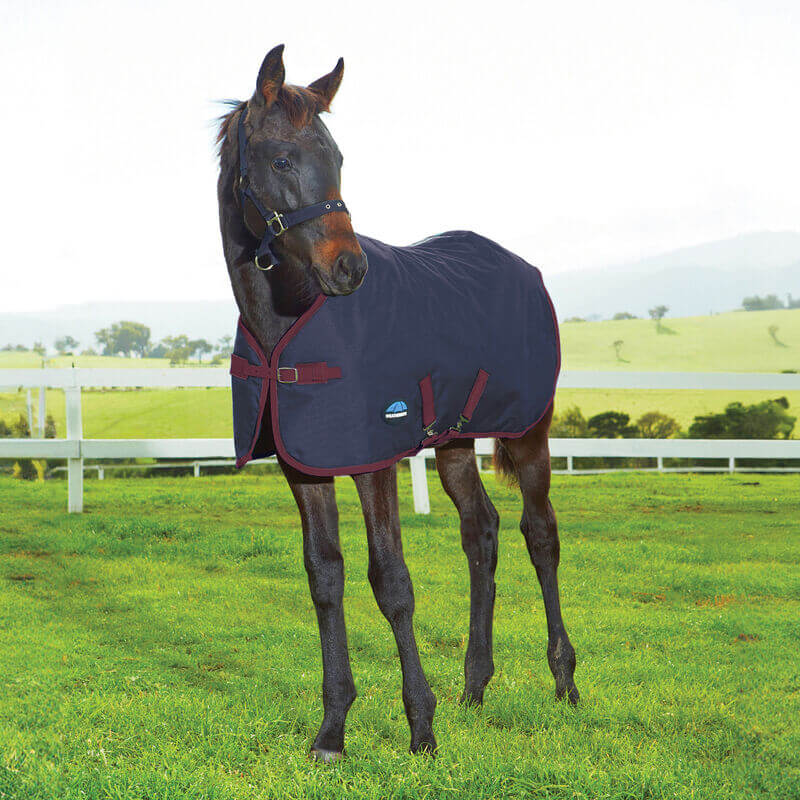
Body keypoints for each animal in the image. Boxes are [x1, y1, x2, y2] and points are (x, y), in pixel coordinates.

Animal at [216, 44, 578, 760]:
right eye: (281, 160)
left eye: (338, 157)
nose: (349, 269)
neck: (289, 324)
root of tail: (523, 267)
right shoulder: (305, 466)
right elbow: (325, 578)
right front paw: (332, 731)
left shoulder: (373, 460)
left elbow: (391, 581)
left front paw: (421, 728)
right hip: (457, 440)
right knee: (481, 531)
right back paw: (475, 685)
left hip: (529, 432)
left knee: (540, 533)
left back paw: (564, 681)